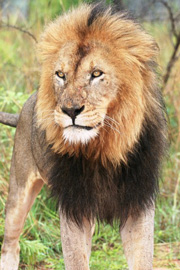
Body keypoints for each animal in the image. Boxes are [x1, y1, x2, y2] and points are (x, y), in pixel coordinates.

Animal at [0, 2, 167, 270]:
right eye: (60, 75)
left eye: (97, 74)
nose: (70, 110)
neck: (104, 149)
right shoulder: (74, 207)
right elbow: (76, 260)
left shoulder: (138, 204)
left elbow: (142, 259)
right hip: (19, 185)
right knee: (11, 243)